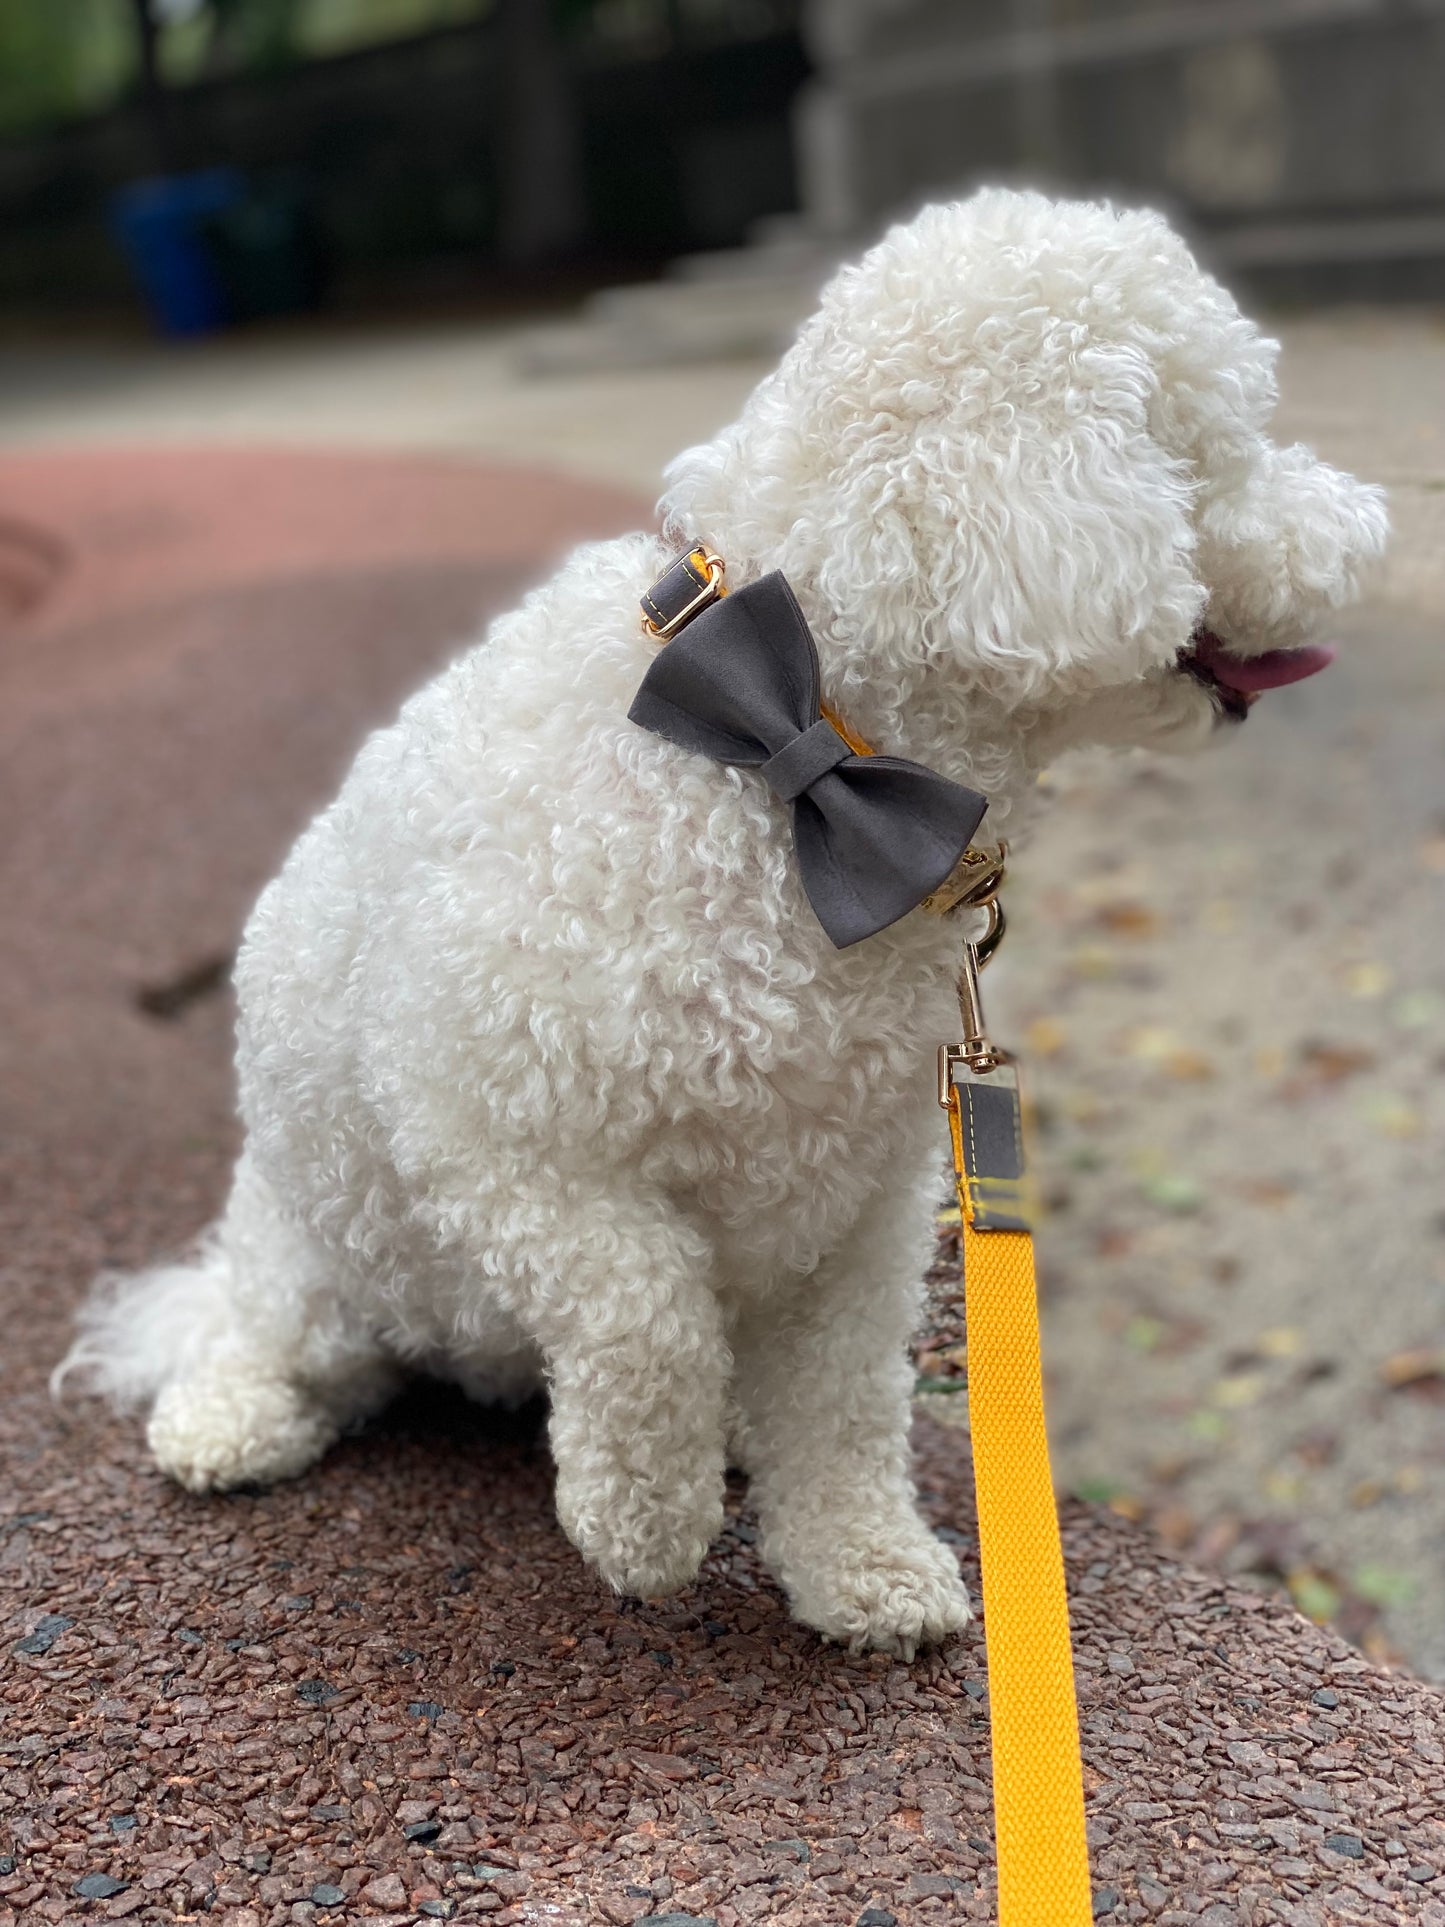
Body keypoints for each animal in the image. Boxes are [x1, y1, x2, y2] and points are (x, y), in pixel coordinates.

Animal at [59, 191, 1394, 1657]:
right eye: (1221, 444)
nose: (1372, 529)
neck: (798, 753)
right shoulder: (499, 1128)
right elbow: (647, 1313)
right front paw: (641, 1523)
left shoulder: (866, 1195)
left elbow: (844, 1403)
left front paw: (862, 1567)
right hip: (325, 1243)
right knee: (256, 1327)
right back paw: (233, 1414)